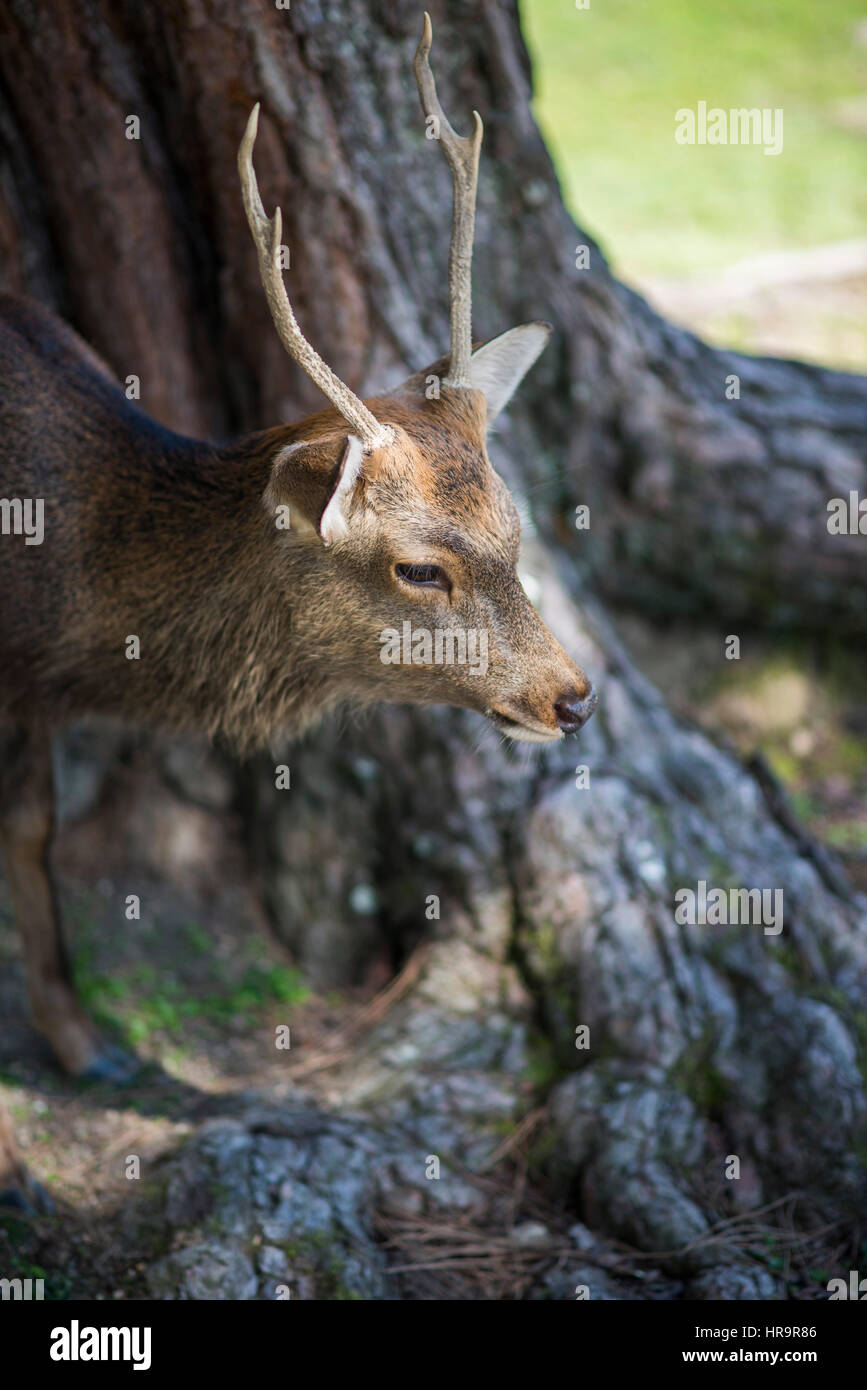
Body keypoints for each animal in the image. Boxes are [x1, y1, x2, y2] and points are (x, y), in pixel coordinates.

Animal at [0, 14, 596, 1209]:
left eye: (515, 524)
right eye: (420, 569)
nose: (572, 697)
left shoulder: (29, 690)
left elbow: (32, 834)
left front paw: (86, 1042)